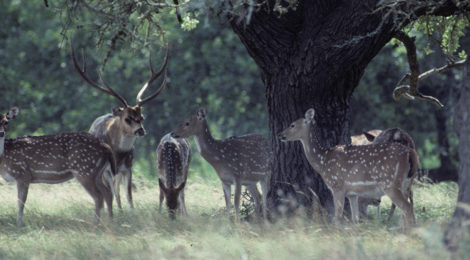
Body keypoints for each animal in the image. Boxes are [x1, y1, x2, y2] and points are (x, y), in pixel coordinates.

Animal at [71, 39, 169, 209]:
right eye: (127, 118)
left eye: (142, 117)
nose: (141, 131)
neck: (118, 152)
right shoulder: (108, 170)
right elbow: (112, 193)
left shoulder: (128, 166)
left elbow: (128, 195)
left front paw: (131, 211)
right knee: (108, 190)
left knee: (116, 191)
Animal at [280, 107, 418, 228]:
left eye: (292, 125)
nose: (281, 135)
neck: (323, 160)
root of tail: (410, 152)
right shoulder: (352, 193)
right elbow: (355, 218)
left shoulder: (337, 186)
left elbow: (337, 218)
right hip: (407, 183)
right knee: (409, 207)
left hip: (390, 183)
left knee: (407, 207)